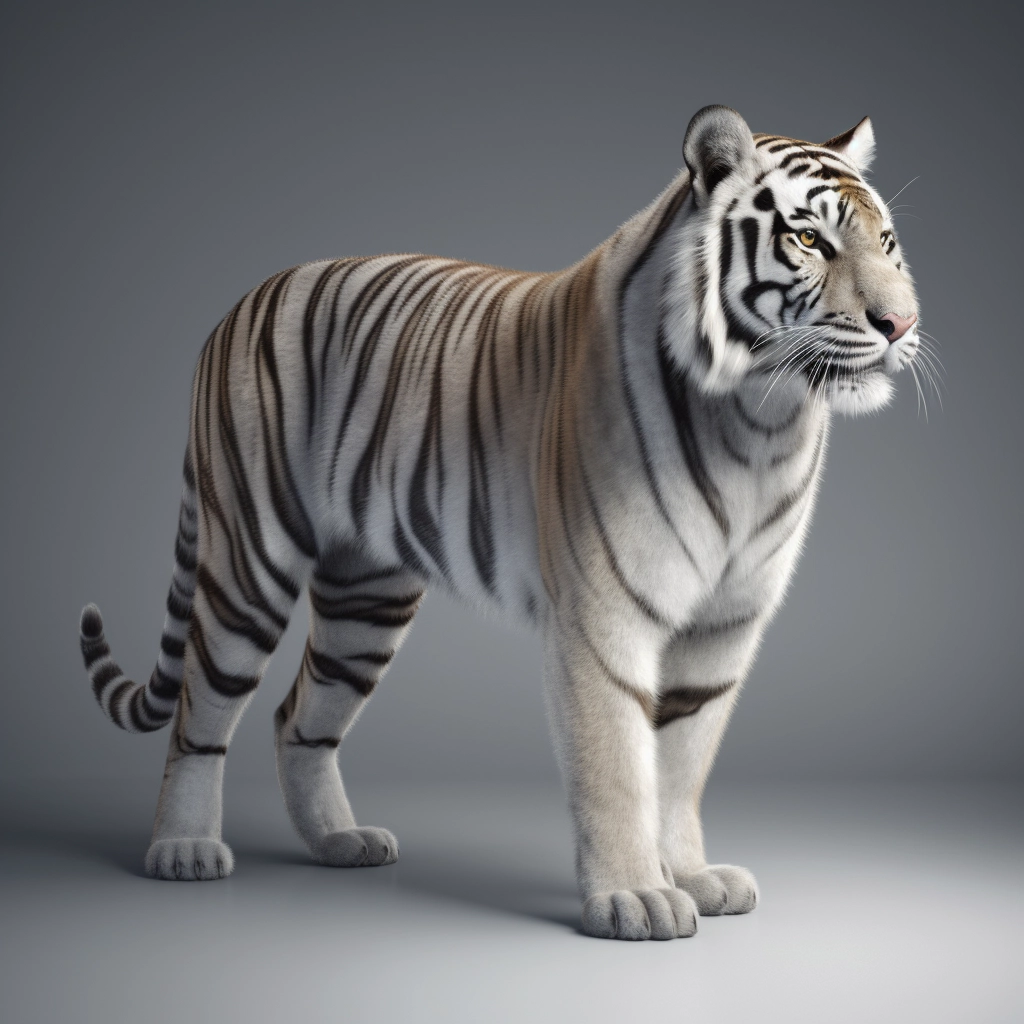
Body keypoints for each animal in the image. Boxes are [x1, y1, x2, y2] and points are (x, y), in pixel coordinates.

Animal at [79, 105, 923, 940]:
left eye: (886, 242)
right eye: (809, 240)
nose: (901, 322)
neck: (761, 420)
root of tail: (240, 302)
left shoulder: (724, 625)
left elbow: (681, 765)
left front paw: (689, 875)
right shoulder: (602, 613)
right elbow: (619, 765)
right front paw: (636, 897)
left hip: (365, 599)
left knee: (298, 716)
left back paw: (340, 841)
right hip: (249, 564)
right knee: (203, 706)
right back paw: (184, 848)